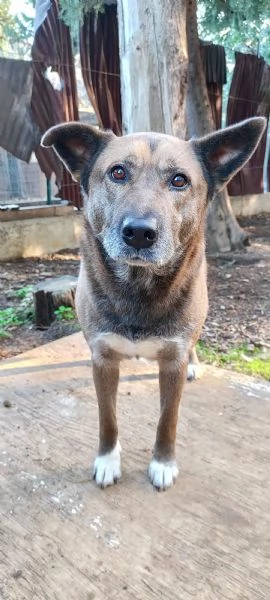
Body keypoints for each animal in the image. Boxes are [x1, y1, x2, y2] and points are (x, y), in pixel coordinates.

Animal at [42, 116, 266, 488]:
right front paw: (107, 460)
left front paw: (162, 463)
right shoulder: (103, 359)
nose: (139, 233)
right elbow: (107, 419)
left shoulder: (172, 362)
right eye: (118, 172)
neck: (138, 286)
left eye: (179, 180)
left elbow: (167, 419)